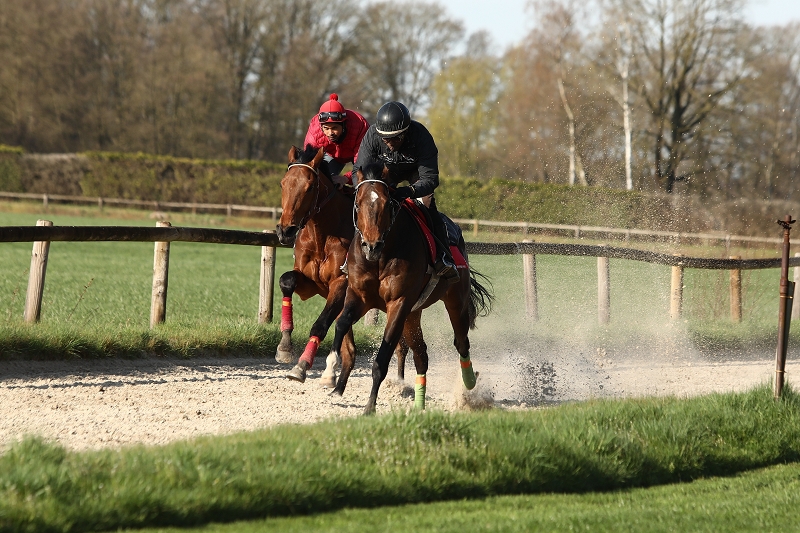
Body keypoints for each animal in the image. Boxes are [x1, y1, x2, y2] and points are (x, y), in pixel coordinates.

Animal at [275, 145, 412, 387]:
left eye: (309, 187)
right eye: (283, 183)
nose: (286, 230)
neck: (323, 234)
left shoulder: (341, 283)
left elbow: (321, 324)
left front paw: (302, 366)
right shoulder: (312, 283)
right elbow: (287, 280)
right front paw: (285, 346)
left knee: (401, 345)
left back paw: (399, 382)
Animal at [327, 163, 494, 414]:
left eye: (388, 204)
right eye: (358, 203)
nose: (372, 246)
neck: (381, 258)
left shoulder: (399, 303)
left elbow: (382, 359)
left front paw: (370, 406)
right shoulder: (359, 296)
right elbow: (342, 322)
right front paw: (330, 369)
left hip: (455, 301)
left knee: (461, 342)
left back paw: (469, 383)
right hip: (413, 314)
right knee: (421, 353)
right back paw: (419, 403)